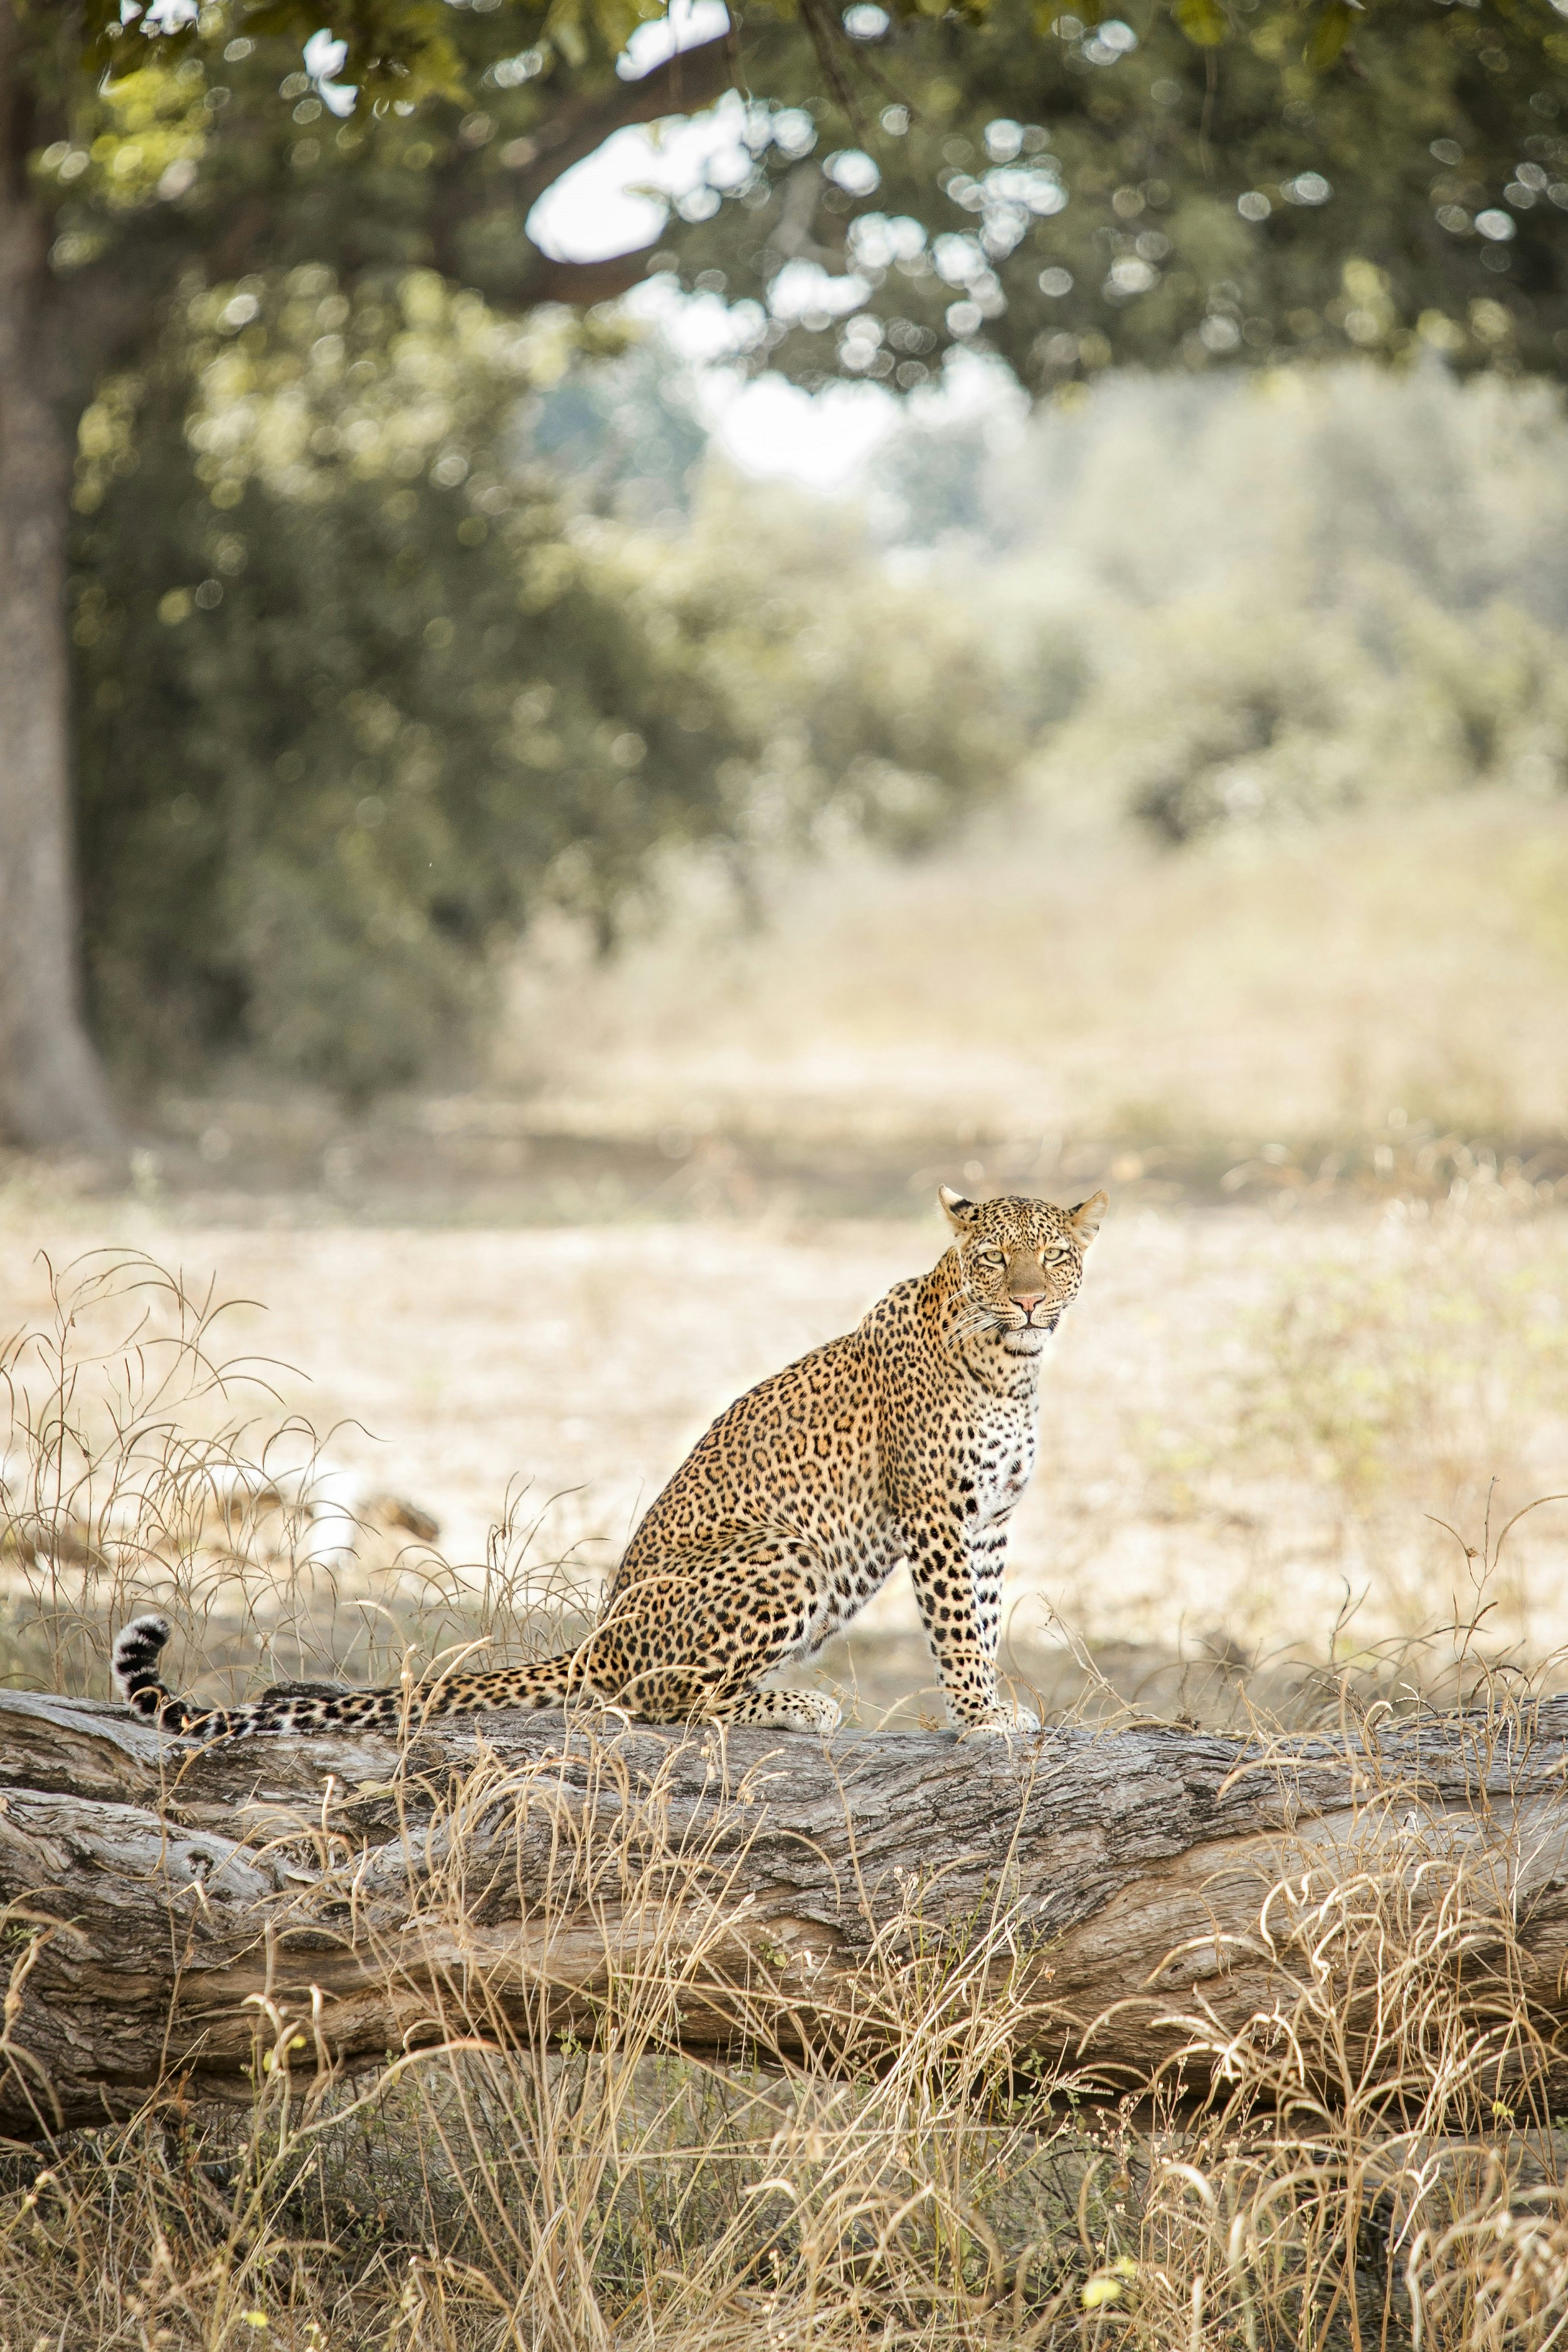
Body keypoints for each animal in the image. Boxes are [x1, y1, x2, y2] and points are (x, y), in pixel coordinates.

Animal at [110, 1185, 1110, 1740]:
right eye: (996, 1259)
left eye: (1056, 1257)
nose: (1030, 1301)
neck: (1012, 1367)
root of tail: (595, 1635)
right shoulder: (938, 1513)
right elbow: (957, 1629)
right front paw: (980, 1719)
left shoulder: (990, 1519)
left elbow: (985, 1617)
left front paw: (999, 1707)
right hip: (787, 1552)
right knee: (654, 1696)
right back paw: (796, 1707)